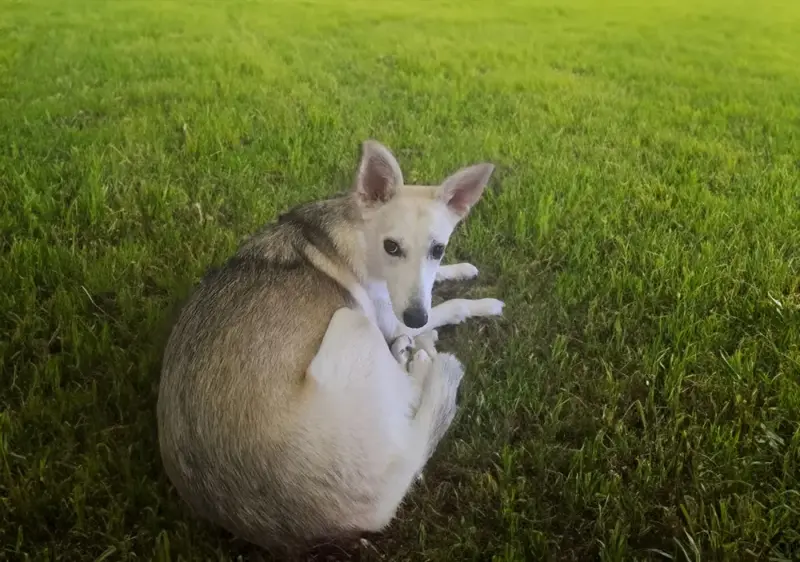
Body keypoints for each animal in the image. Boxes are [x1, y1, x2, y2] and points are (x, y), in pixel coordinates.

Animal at [156, 138, 504, 548]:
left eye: (438, 250)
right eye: (392, 247)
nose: (415, 319)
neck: (360, 233)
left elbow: (436, 286)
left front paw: (460, 269)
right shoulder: (390, 316)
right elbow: (451, 306)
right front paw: (481, 304)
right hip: (352, 321)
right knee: (413, 394)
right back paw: (418, 356)